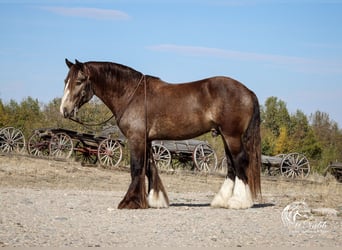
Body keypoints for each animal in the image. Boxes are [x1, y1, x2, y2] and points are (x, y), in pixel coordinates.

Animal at [59, 58, 262, 209]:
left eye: (78, 81)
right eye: (65, 81)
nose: (64, 110)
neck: (131, 94)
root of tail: (248, 91)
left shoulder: (136, 139)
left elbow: (137, 168)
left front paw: (129, 202)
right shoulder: (147, 140)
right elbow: (149, 167)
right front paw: (154, 200)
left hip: (231, 136)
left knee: (240, 162)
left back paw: (239, 202)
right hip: (226, 136)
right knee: (231, 165)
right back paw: (222, 201)